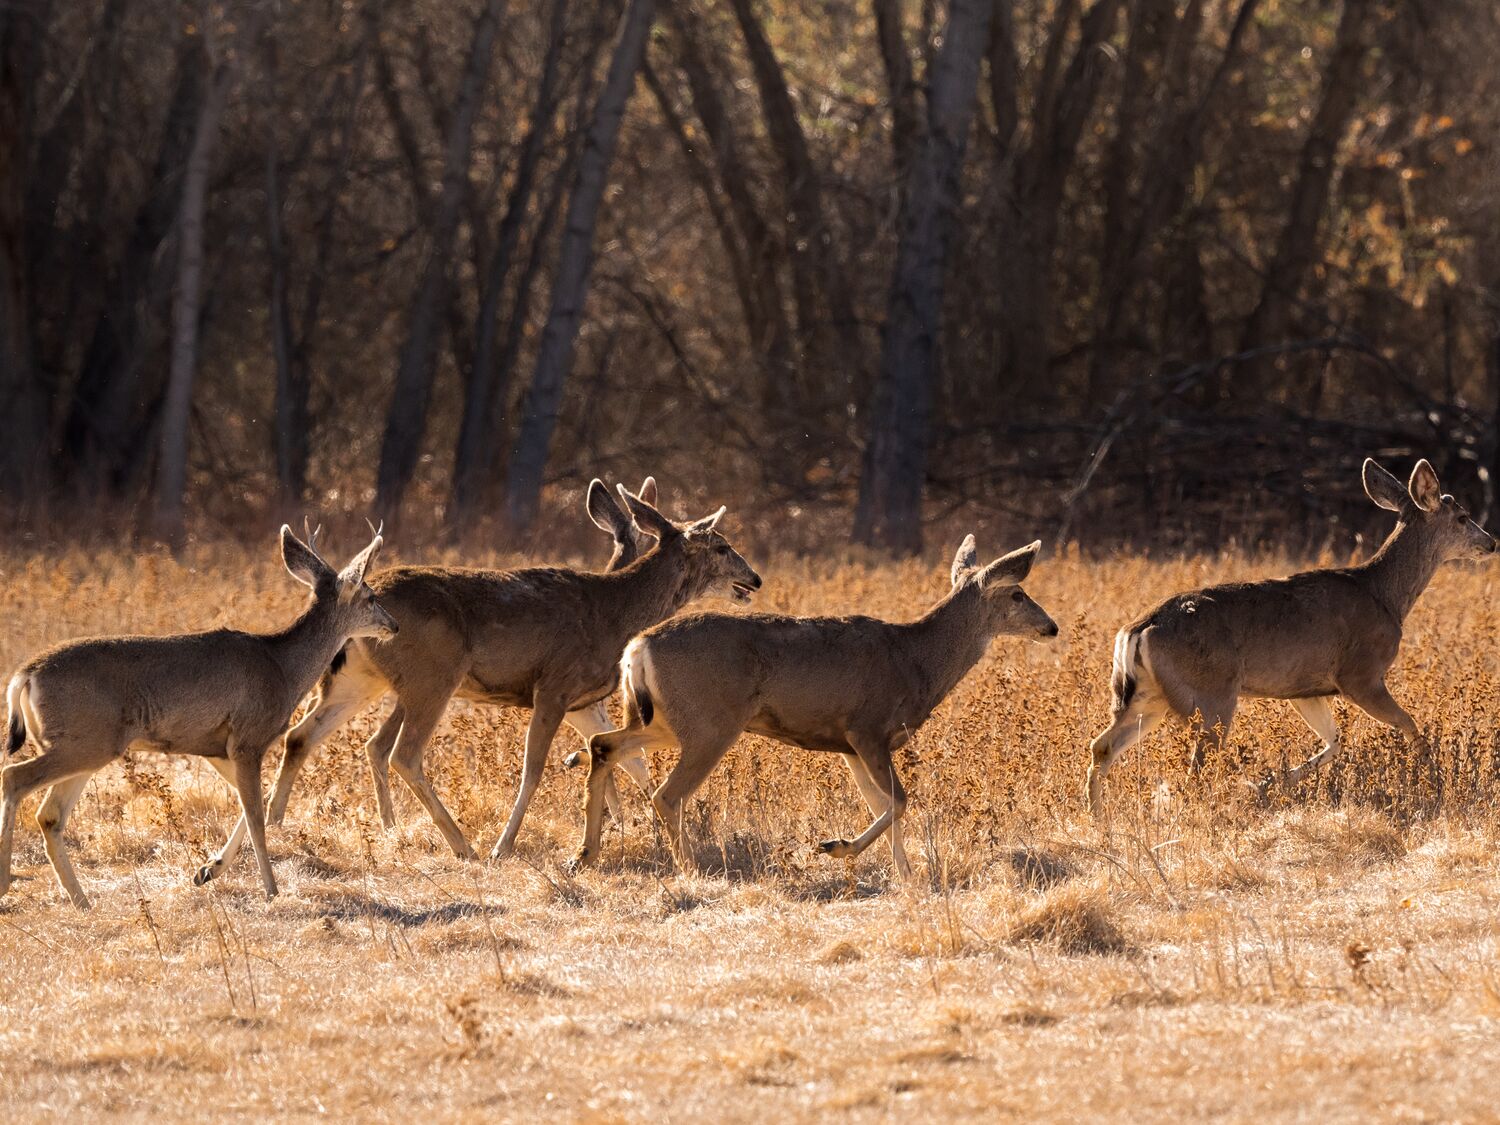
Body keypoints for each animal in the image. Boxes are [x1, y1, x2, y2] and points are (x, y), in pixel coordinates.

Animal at [0, 526, 394, 908]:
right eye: (371, 596)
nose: (395, 625)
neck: (283, 669)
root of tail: (25, 674)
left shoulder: (216, 747)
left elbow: (256, 804)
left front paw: (208, 870)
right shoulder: (249, 738)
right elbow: (256, 815)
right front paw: (271, 890)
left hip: (88, 744)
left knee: (49, 815)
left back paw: (81, 900)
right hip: (85, 740)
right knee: (14, 777)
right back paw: (9, 884)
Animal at [201, 482, 761, 878]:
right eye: (721, 546)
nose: (753, 578)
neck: (616, 612)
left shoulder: (584, 698)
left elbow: (631, 758)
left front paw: (634, 827)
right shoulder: (555, 684)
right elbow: (533, 769)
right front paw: (505, 846)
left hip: (361, 679)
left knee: (307, 737)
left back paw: (276, 828)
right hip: (433, 675)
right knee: (401, 751)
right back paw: (464, 846)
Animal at [568, 537, 1058, 880]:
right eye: (1017, 594)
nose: (1051, 627)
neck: (917, 662)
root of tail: (637, 647)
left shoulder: (849, 746)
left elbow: (885, 805)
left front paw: (907, 877)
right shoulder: (868, 728)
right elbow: (899, 801)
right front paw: (837, 847)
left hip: (665, 718)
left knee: (604, 744)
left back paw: (585, 854)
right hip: (710, 722)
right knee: (666, 793)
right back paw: (691, 868)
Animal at [1085, 458, 1497, 815]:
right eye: (1462, 517)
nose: (1491, 543)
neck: (1386, 597)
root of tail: (1136, 630)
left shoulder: (1306, 689)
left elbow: (1334, 741)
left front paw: (1269, 783)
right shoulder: (1360, 674)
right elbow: (1410, 726)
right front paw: (1435, 784)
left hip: (1146, 696)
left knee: (1101, 746)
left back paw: (1098, 817)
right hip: (1209, 694)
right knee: (1195, 768)